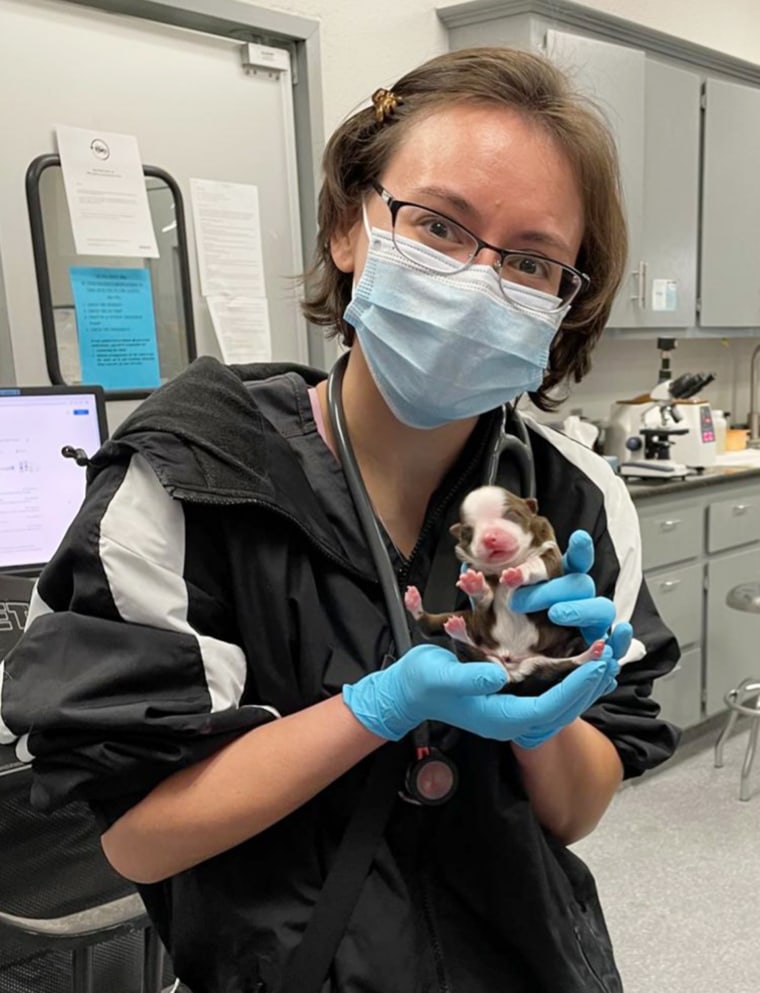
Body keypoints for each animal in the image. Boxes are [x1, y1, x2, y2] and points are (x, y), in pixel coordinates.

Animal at [404, 484, 604, 692]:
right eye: (469, 532)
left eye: (511, 515)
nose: (490, 537)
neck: (505, 565)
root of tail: (511, 671)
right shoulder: (478, 571)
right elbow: (485, 596)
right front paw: (476, 585)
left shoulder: (550, 552)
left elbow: (537, 564)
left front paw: (518, 573)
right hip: (471, 622)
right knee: (434, 627)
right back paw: (438, 614)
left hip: (548, 660)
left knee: (568, 664)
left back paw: (592, 652)